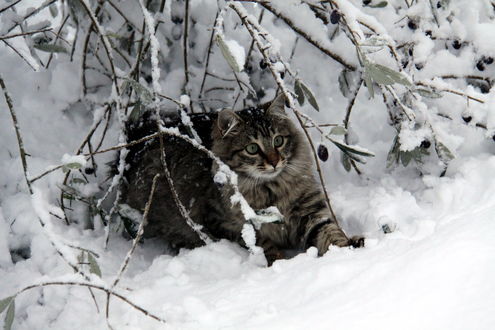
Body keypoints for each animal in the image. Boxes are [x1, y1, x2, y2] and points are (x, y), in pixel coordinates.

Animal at [118, 94, 362, 264]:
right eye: (252, 148)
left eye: (278, 141)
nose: (275, 162)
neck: (272, 189)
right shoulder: (230, 225)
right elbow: (264, 246)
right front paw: (281, 263)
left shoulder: (311, 213)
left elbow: (331, 234)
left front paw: (350, 248)